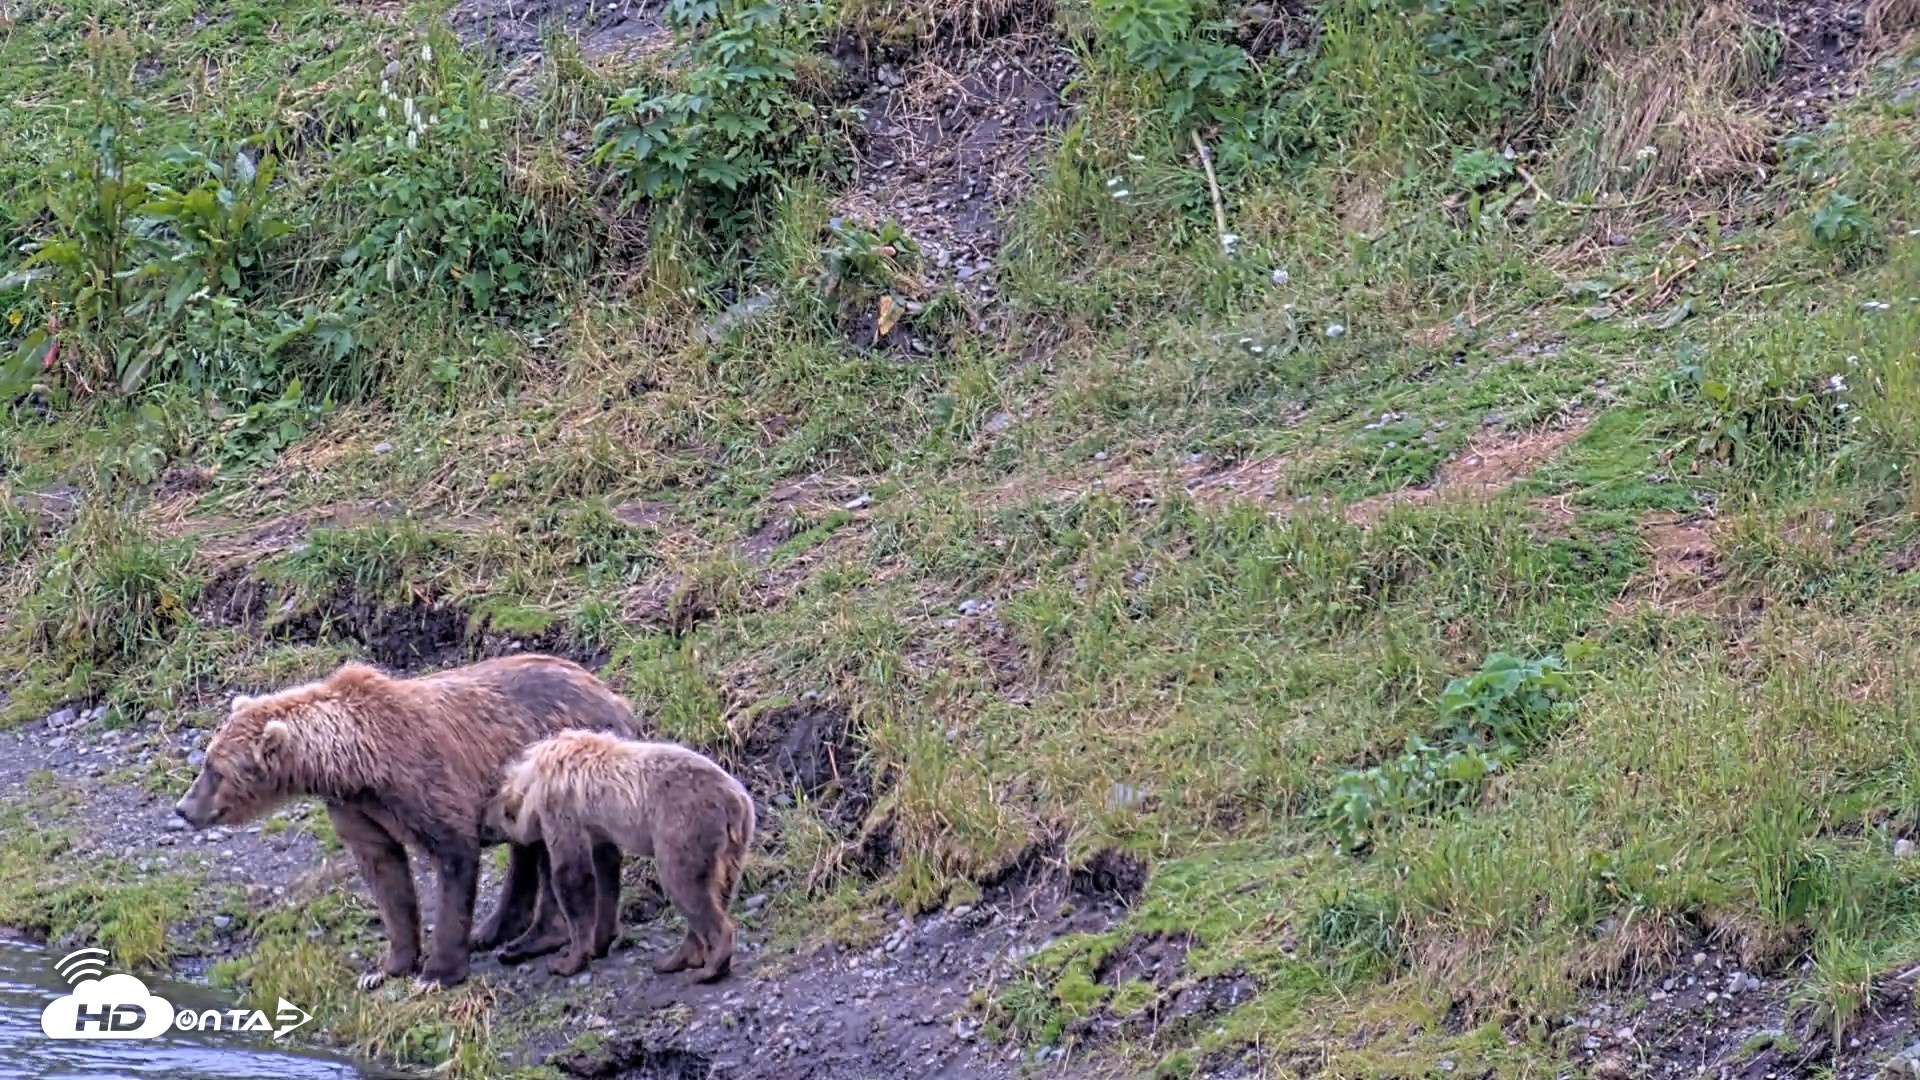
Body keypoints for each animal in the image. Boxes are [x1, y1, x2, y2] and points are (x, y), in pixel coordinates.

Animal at [174, 654, 640, 990]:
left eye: (215, 769)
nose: (182, 808)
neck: (357, 763)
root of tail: (617, 698)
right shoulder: (355, 807)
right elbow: (385, 874)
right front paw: (387, 967)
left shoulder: (421, 780)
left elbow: (453, 854)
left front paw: (437, 973)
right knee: (530, 852)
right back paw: (500, 933)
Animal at [483, 729, 756, 982]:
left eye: (489, 823)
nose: (483, 828)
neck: (531, 784)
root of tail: (737, 799)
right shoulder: (597, 826)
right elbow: (605, 870)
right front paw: (599, 942)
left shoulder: (562, 809)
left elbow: (572, 876)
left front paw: (567, 962)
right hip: (732, 845)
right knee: (719, 888)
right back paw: (677, 960)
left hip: (683, 825)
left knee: (685, 885)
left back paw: (710, 967)